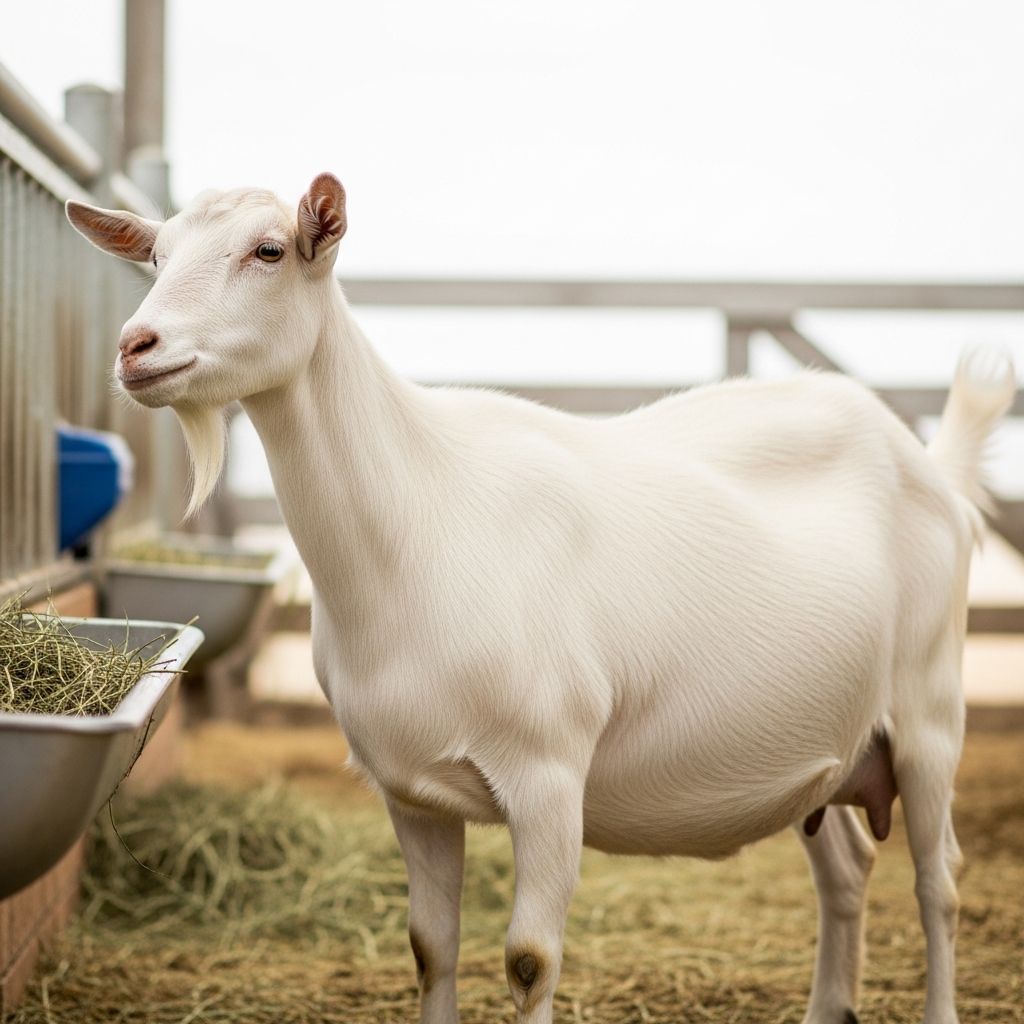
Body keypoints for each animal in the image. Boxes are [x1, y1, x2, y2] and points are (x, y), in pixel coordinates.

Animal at [67, 174, 1015, 1024]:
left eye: (269, 250)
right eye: (156, 254)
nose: (136, 346)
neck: (420, 514)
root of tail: (931, 465)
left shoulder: (551, 774)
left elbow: (530, 961)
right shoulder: (408, 792)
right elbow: (430, 947)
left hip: (930, 710)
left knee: (939, 880)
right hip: (829, 744)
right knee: (847, 868)